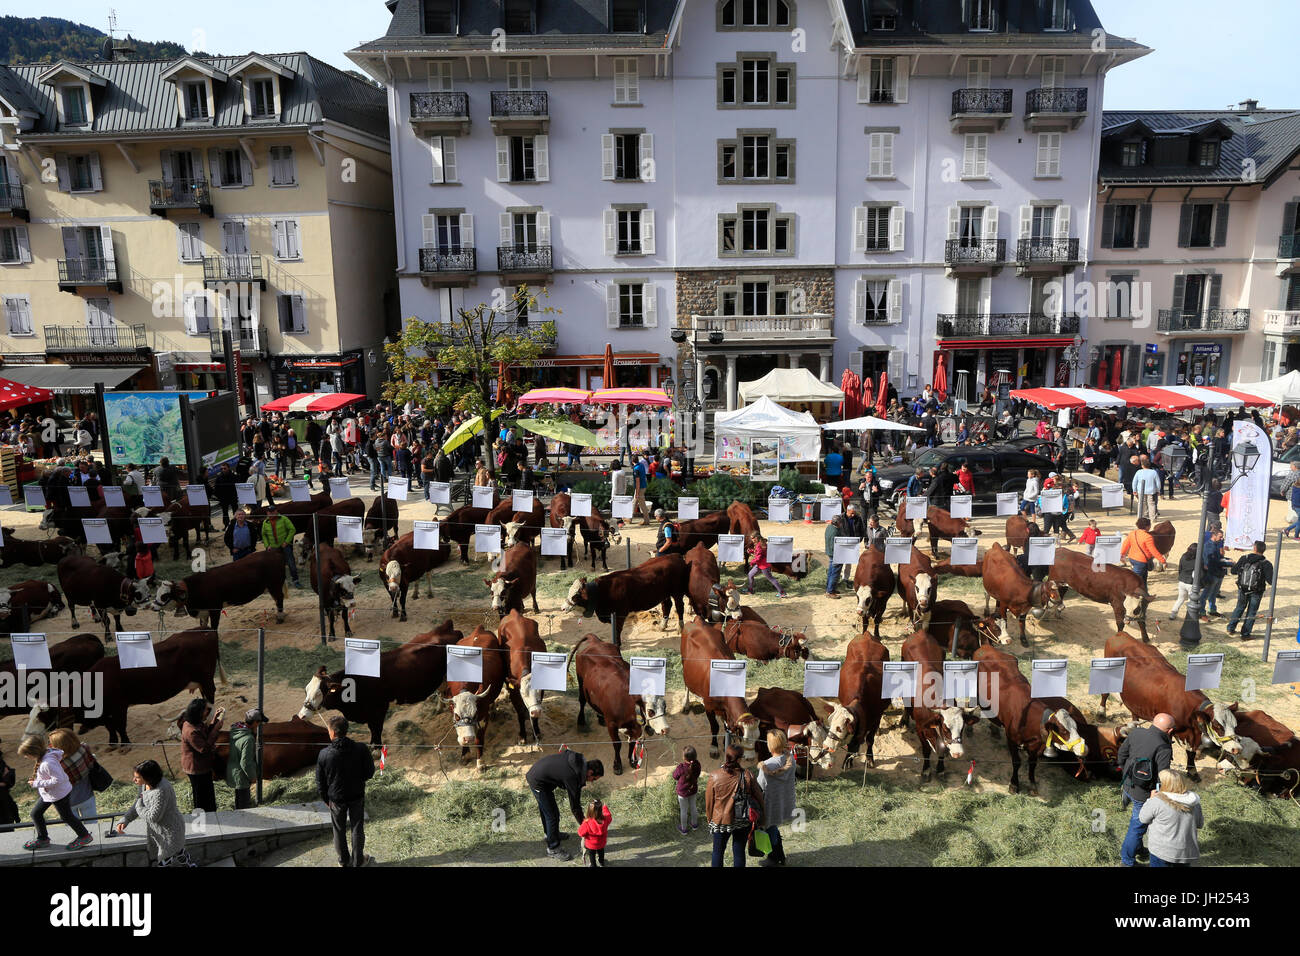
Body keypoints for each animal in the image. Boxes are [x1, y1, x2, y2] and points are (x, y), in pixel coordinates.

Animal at [569, 632, 670, 775]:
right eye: (651, 711)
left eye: (665, 707)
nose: (666, 729)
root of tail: (595, 640)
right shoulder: (612, 725)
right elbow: (617, 745)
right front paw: (617, 765)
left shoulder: (635, 727)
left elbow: (632, 743)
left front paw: (632, 760)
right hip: (581, 683)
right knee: (582, 701)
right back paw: (581, 721)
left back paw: (600, 717)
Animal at [681, 621, 759, 764]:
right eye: (743, 737)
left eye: (757, 737)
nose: (750, 758)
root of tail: (697, 621)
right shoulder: (709, 707)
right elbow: (715, 726)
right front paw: (714, 748)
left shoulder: (726, 710)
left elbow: (727, 726)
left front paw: (725, 744)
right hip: (684, 661)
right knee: (686, 685)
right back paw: (686, 704)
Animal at [826, 634, 889, 770]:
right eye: (830, 724)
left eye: (840, 729)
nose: (827, 746)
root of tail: (867, 635)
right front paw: (847, 760)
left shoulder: (877, 717)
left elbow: (870, 739)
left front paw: (869, 758)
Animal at [977, 647, 1086, 796]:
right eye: (1063, 731)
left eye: (1076, 727)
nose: (1084, 748)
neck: (1026, 717)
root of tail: (989, 648)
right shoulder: (1011, 739)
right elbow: (1016, 762)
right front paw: (1014, 784)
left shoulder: (1036, 745)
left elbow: (1032, 764)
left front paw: (1033, 785)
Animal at [1102, 632, 1242, 780]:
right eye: (1217, 726)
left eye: (1235, 725)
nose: (1237, 749)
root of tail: (1121, 634)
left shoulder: (1192, 735)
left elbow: (1191, 753)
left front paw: (1192, 771)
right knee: (1104, 694)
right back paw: (1101, 713)